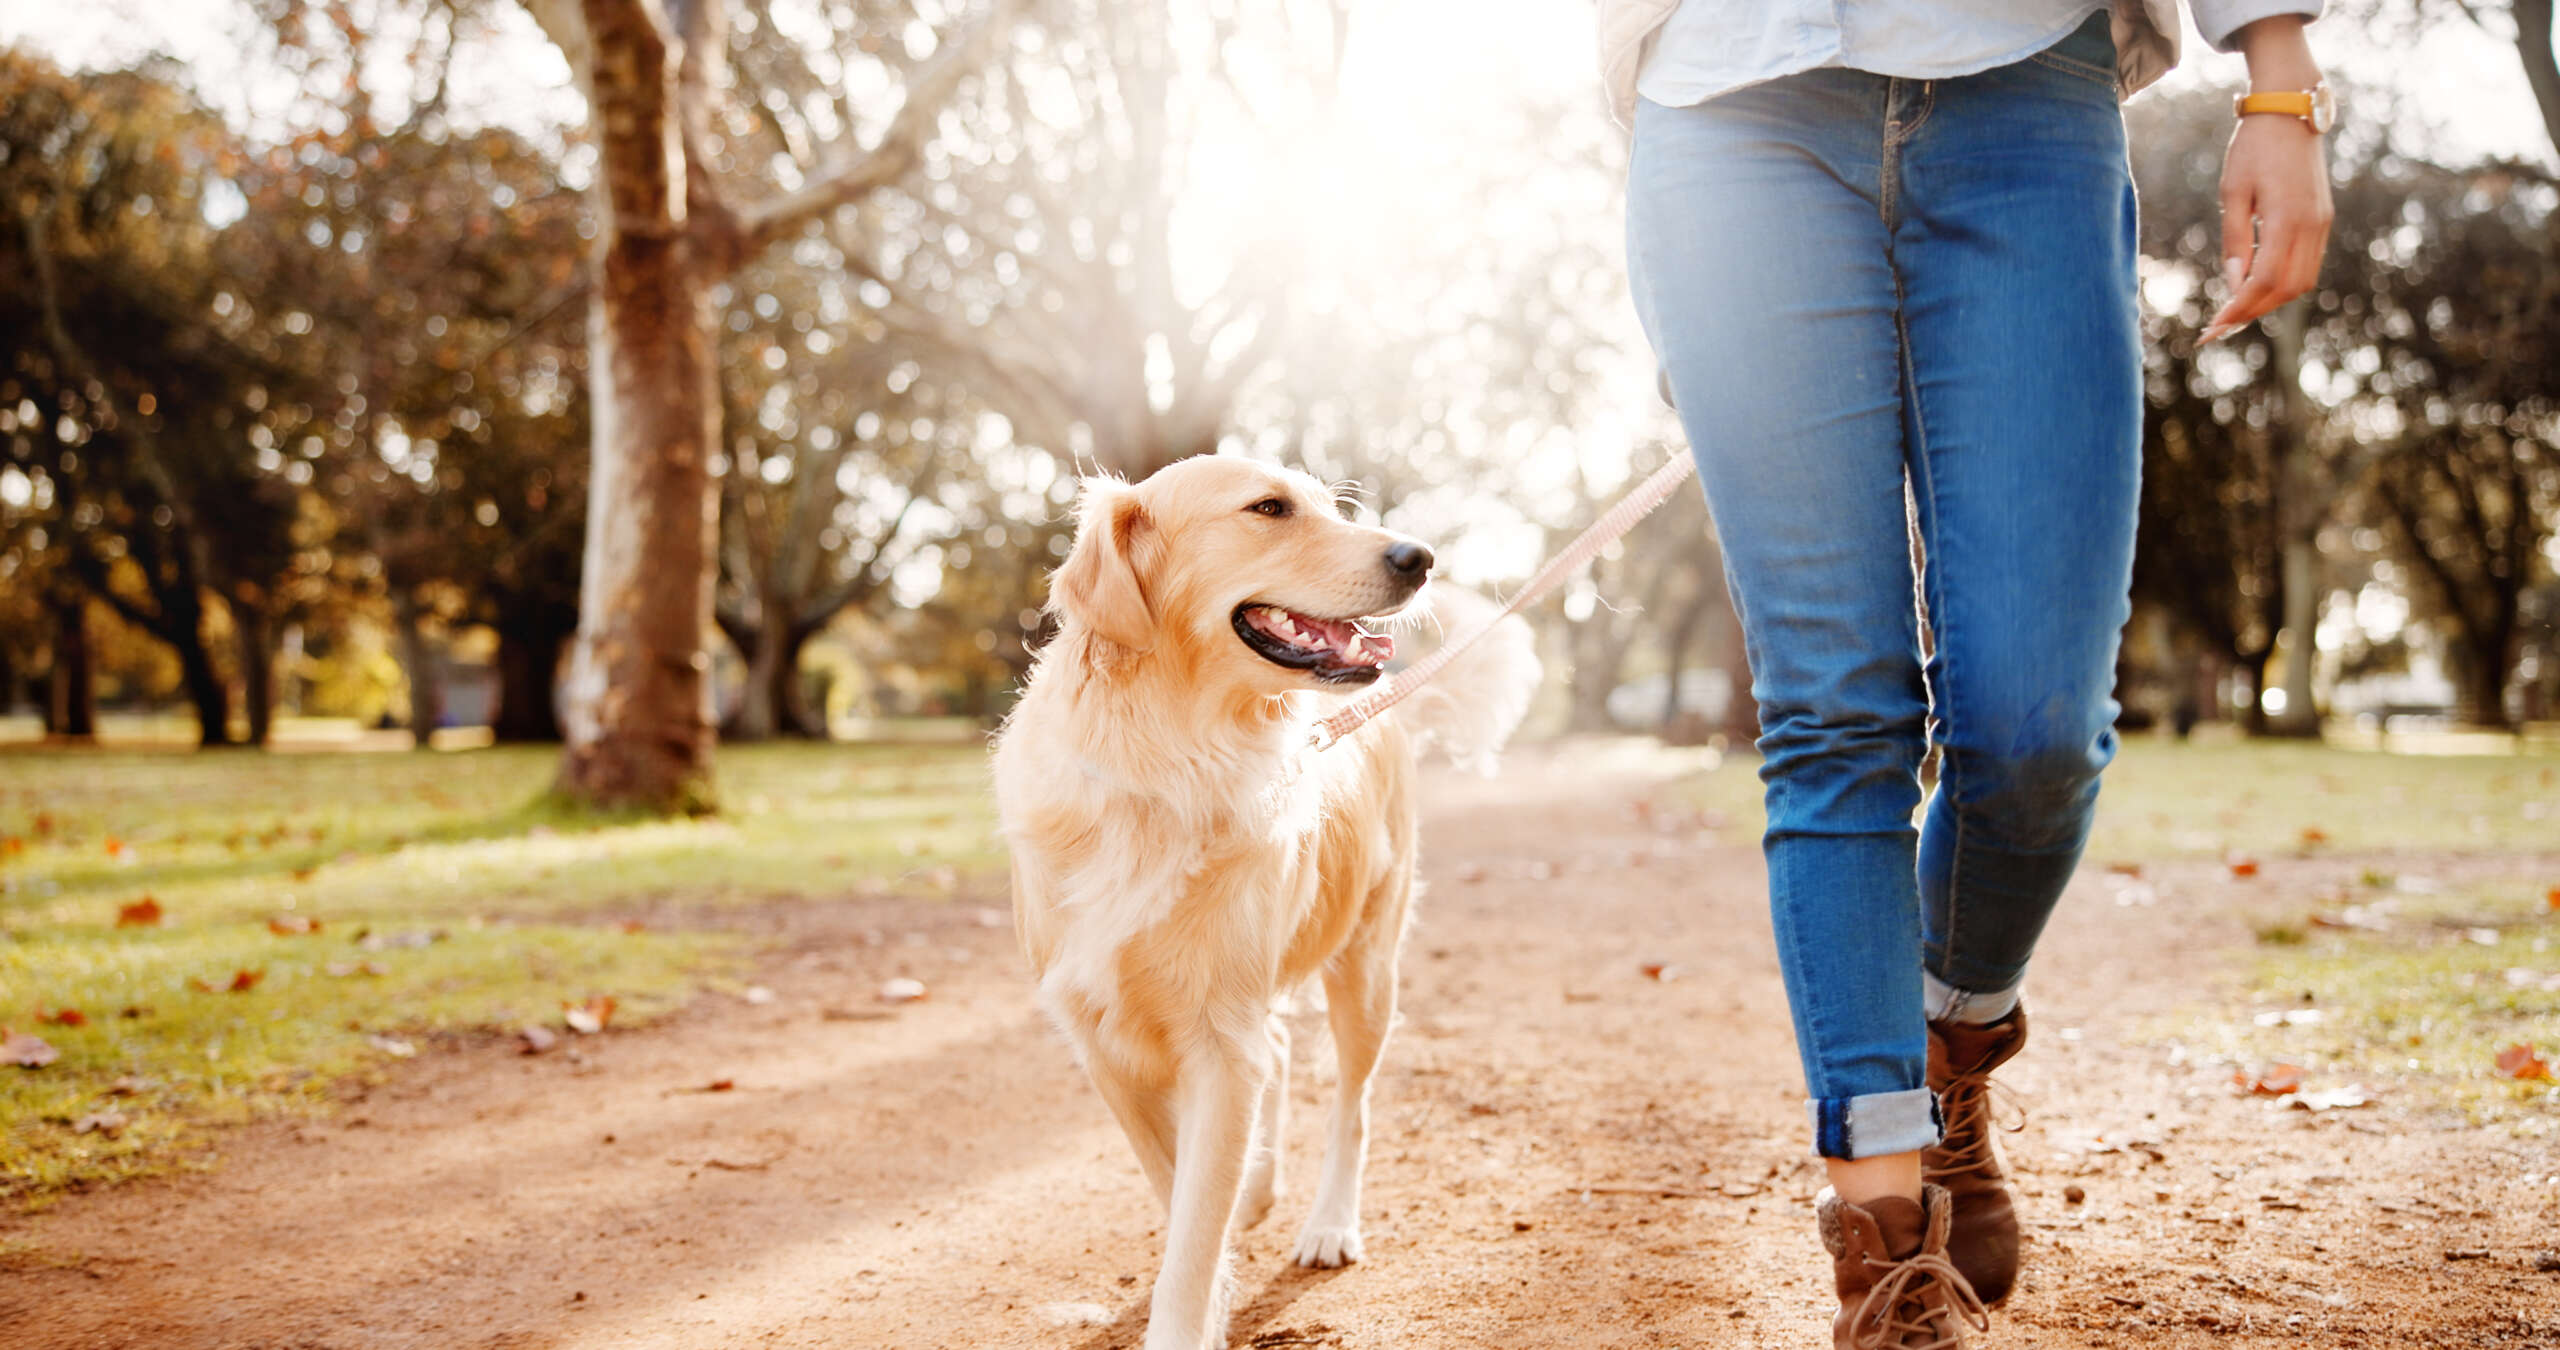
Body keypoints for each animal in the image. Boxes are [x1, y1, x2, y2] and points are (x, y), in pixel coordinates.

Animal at [988, 455, 1525, 1350]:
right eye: (1268, 509)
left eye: (1325, 505)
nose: (1419, 557)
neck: (1171, 760)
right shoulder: (1102, 1039)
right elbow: (1178, 1191)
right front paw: (1217, 1264)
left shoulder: (1218, 1038)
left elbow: (1193, 1232)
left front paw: (1195, 1307)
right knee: (1274, 1055)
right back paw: (1261, 1187)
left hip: (1365, 969)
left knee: (1350, 1104)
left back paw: (1328, 1222)